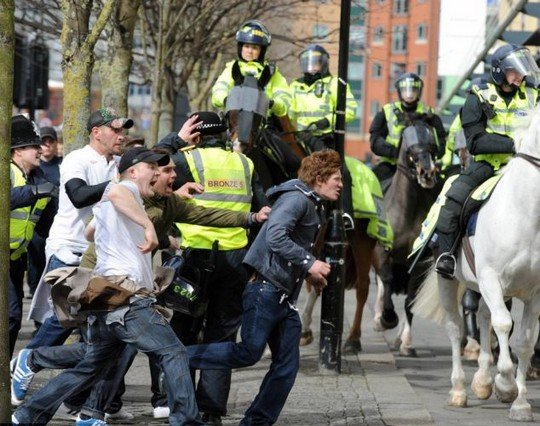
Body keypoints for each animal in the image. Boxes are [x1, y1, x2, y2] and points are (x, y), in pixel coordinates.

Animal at [414, 107, 540, 422]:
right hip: (450, 281)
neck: (525, 213)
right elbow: (504, 324)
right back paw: (459, 390)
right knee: (456, 328)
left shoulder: (534, 293)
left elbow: (524, 341)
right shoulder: (491, 278)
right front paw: (506, 385)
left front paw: (520, 403)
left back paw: (482, 381)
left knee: (483, 317)